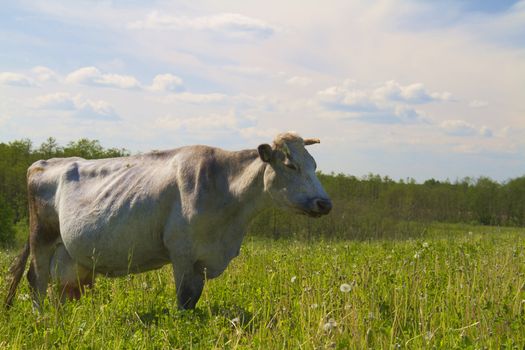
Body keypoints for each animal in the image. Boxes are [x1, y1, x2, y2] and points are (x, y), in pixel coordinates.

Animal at [5, 133, 332, 310]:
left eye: (314, 164)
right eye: (290, 164)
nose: (324, 203)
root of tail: (45, 162)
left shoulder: (202, 259)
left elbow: (194, 299)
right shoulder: (182, 253)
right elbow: (184, 301)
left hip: (68, 252)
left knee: (63, 288)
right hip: (41, 239)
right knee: (36, 280)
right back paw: (42, 320)